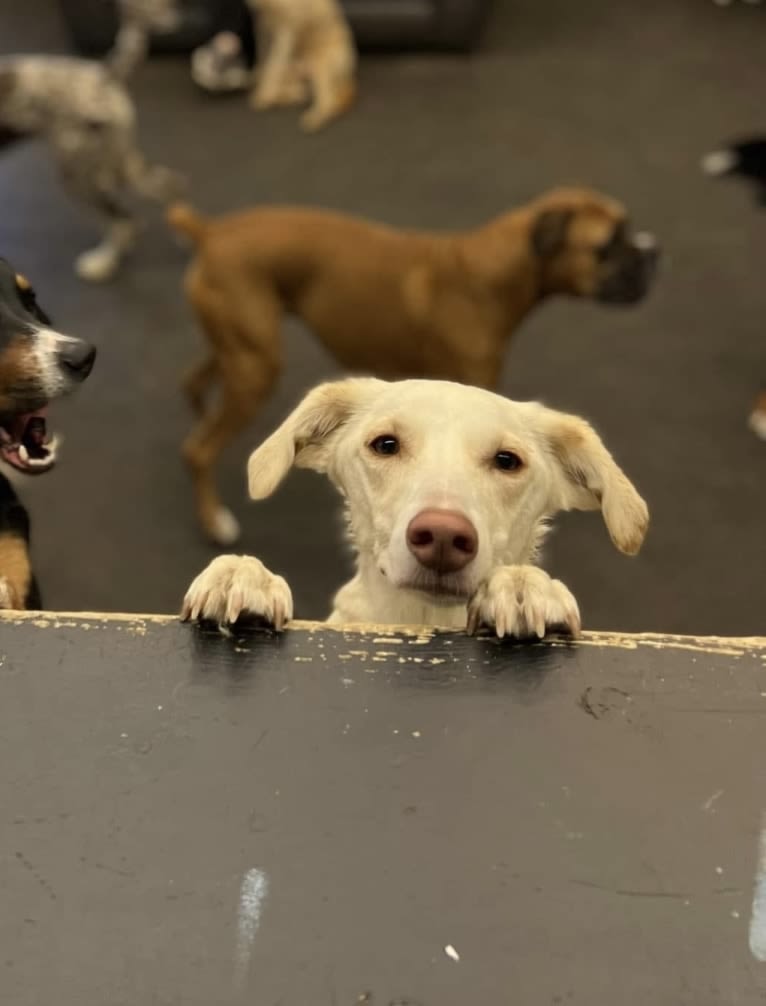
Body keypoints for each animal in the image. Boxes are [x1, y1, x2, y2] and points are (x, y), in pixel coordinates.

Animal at [0, 55, 182, 283]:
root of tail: (106, 75)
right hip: (117, 164)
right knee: (168, 186)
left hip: (81, 175)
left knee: (124, 222)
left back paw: (101, 264)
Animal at [170, 183, 660, 543]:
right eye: (606, 247)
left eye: (628, 230)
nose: (652, 250)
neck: (484, 278)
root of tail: (210, 232)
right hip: (257, 366)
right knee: (199, 448)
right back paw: (214, 518)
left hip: (244, 348)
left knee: (193, 385)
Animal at [182, 378, 648, 635]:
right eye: (385, 444)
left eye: (507, 460)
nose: (442, 535)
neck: (421, 618)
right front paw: (244, 576)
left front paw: (524, 585)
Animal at [244, 0, 356, 130]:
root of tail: (349, 78)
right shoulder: (261, 26)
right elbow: (264, 59)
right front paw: (261, 86)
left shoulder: (285, 31)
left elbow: (274, 65)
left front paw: (264, 94)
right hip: (296, 72)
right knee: (302, 90)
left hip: (319, 64)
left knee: (329, 102)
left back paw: (313, 119)